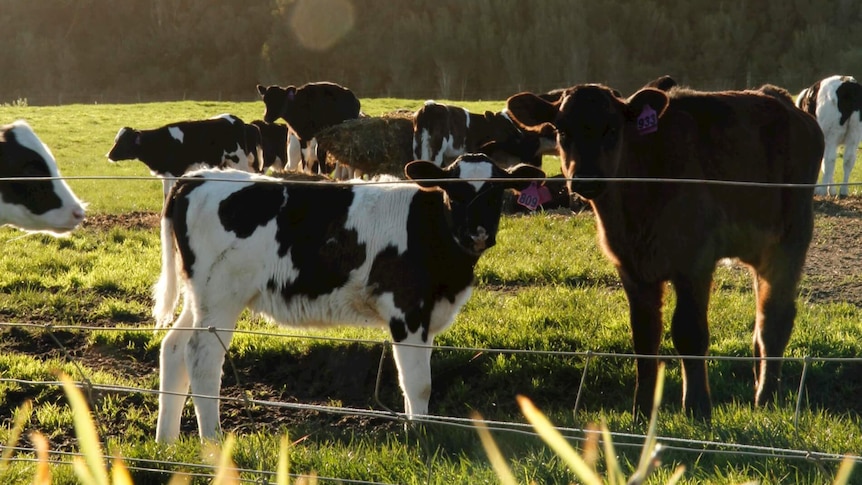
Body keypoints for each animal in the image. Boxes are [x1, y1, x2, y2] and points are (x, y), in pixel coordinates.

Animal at [106, 113, 260, 197]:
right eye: (116, 140)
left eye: (123, 142)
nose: (109, 155)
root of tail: (242, 123)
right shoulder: (166, 175)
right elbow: (166, 195)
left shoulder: (175, 172)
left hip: (239, 160)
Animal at [154, 153, 548, 440]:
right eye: (454, 192)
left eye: (496, 193)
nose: (476, 233)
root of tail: (197, 177)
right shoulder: (407, 312)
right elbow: (418, 383)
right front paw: (419, 435)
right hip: (221, 297)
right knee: (201, 357)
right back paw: (213, 442)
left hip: (200, 297)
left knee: (174, 347)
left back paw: (167, 443)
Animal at [414, 99, 560, 167]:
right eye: (505, 124)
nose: (520, 134)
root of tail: (429, 106)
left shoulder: (451, 156)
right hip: (437, 146)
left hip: (418, 146)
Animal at [510, 83, 828, 420]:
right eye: (561, 130)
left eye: (612, 128)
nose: (586, 178)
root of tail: (782, 100)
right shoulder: (632, 269)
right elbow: (645, 337)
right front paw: (641, 410)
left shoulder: (694, 262)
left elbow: (690, 333)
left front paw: (698, 407)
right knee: (760, 319)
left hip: (790, 238)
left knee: (774, 319)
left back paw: (766, 398)